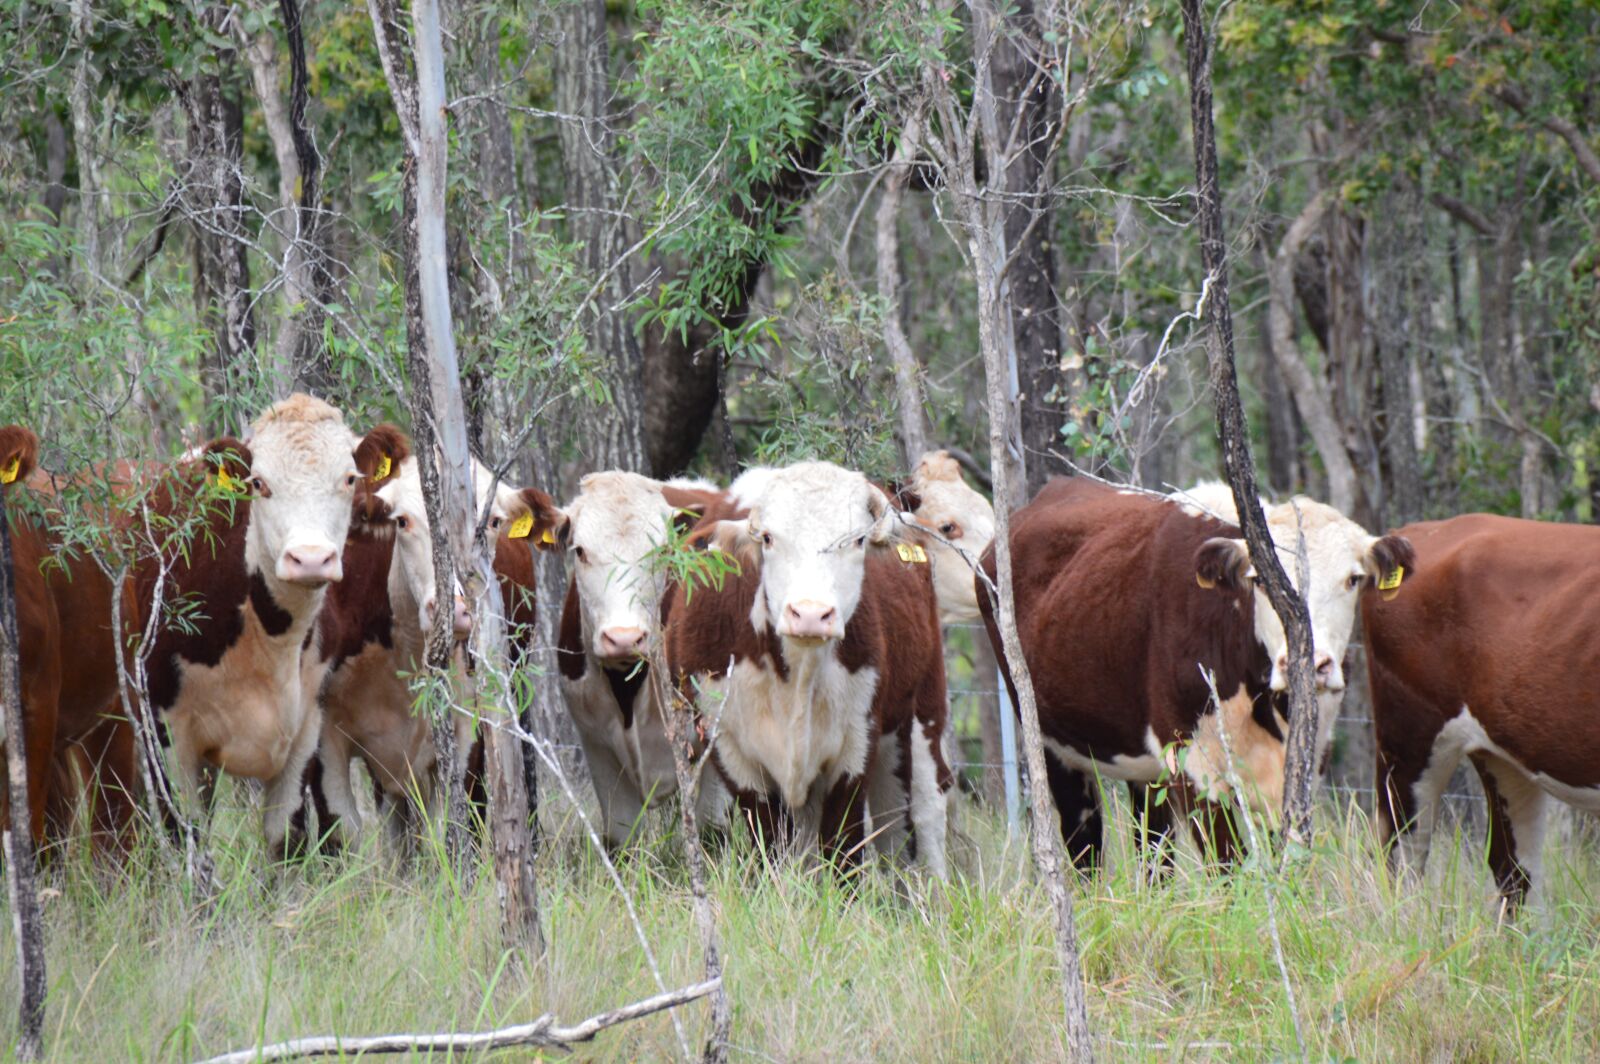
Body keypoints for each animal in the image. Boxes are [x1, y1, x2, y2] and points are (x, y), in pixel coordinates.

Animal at [138, 394, 408, 856]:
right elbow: (189, 839)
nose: (311, 558)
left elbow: (286, 839)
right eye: (259, 483)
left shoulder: (306, 730)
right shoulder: (167, 735)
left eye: (349, 479)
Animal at [311, 454, 555, 847]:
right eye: (402, 521)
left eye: (493, 522)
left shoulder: (467, 730)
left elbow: (451, 829)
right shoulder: (324, 730)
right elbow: (344, 829)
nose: (454, 609)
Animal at [542, 471, 730, 847]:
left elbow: (711, 828)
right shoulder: (596, 746)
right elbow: (620, 837)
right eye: (580, 551)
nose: (624, 637)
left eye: (663, 551)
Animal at [665, 462, 953, 876]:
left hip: (922, 709)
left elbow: (844, 852)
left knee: (917, 815)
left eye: (858, 540)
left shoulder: (855, 747)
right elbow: (771, 846)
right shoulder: (731, 750)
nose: (811, 614)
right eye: (768, 538)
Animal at [978, 476, 1411, 867]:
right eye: (1259, 580)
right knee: (1085, 846)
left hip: (1144, 770)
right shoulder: (1194, 769)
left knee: (1153, 848)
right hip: (1053, 746)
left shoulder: (1304, 768)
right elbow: (1229, 869)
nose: (1310, 664)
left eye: (1353, 579)